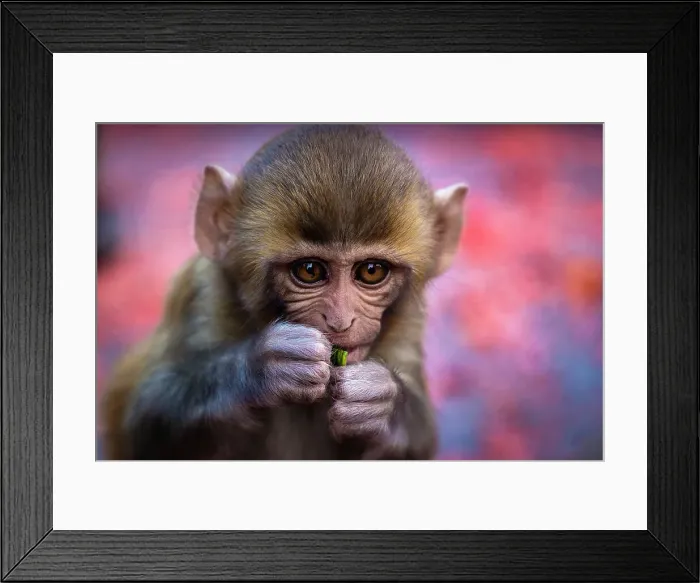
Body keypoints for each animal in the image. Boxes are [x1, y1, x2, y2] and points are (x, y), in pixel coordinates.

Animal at [101, 124, 468, 460]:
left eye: (371, 271)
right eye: (309, 270)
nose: (340, 321)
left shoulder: (408, 325)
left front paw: (382, 405)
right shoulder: (204, 293)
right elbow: (149, 424)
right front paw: (262, 368)